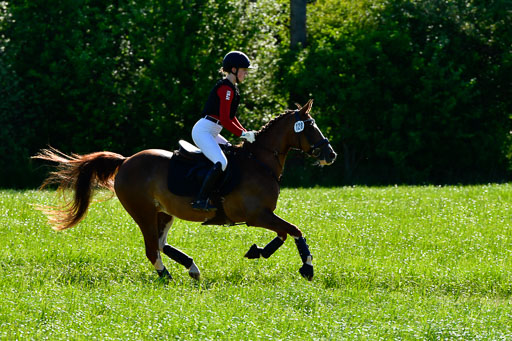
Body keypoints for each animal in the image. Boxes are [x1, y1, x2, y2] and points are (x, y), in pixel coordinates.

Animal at [33, 99, 336, 280]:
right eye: (310, 127)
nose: (330, 155)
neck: (259, 161)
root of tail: (126, 161)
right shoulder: (256, 215)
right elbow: (293, 230)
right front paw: (307, 267)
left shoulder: (263, 215)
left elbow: (285, 233)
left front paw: (258, 251)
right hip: (143, 212)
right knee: (151, 249)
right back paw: (166, 277)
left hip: (163, 213)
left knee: (159, 244)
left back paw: (191, 268)